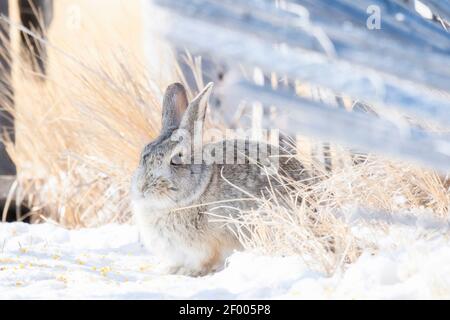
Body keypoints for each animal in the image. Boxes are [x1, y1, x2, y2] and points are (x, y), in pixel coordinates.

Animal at [128, 81, 308, 276]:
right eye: (143, 154)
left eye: (176, 159)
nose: (142, 187)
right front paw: (170, 270)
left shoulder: (206, 248)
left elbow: (205, 262)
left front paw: (188, 272)